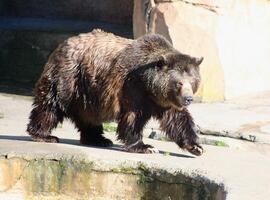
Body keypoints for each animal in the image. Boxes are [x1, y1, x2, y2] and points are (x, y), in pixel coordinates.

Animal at [28, 28, 205, 155]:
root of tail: (63, 44)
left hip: (87, 92)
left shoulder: (165, 101)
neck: (150, 88)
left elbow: (178, 119)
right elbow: (133, 118)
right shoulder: (132, 88)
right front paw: (145, 146)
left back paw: (98, 139)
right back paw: (44, 134)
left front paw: (196, 146)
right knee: (52, 104)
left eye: (193, 82)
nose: (188, 99)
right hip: (70, 78)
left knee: (87, 116)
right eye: (179, 83)